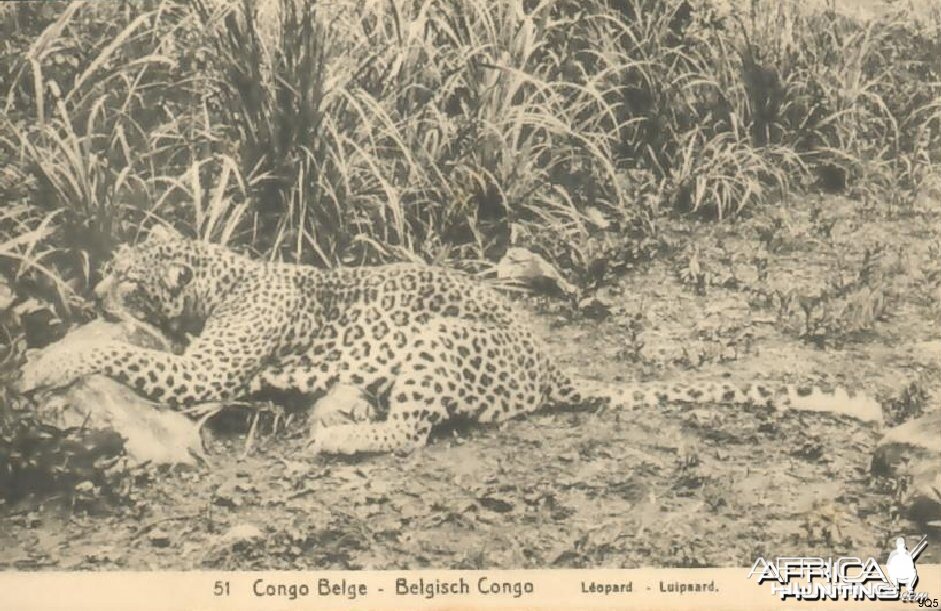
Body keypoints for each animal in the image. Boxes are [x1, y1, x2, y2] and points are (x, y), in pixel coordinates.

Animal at [14, 225, 880, 454]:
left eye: (126, 277)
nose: (95, 291)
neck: (223, 275)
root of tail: (550, 363)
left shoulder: (204, 371)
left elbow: (121, 350)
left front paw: (45, 362)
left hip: (439, 334)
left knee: (410, 431)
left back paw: (334, 438)